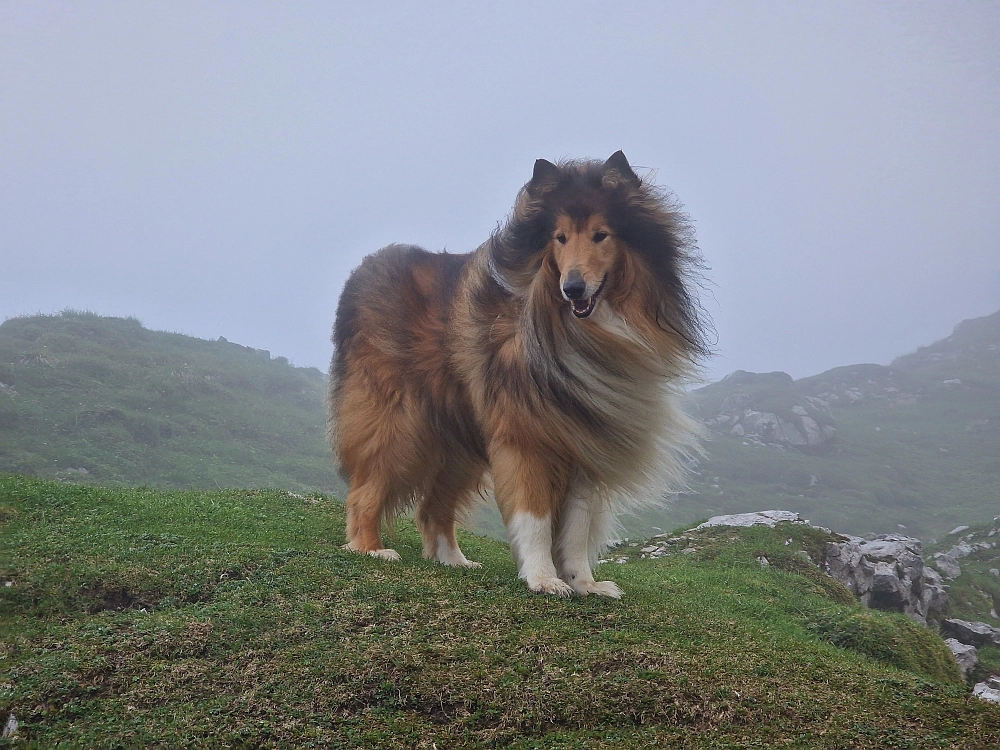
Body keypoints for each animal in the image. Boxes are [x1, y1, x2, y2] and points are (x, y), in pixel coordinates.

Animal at [328, 153, 704, 600]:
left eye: (601, 235)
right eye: (560, 237)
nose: (573, 288)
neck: (579, 333)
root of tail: (361, 273)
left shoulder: (586, 441)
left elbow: (577, 528)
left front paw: (584, 583)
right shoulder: (525, 436)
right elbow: (535, 517)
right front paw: (542, 578)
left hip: (460, 443)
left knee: (432, 507)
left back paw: (452, 560)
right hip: (397, 422)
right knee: (365, 491)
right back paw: (370, 548)